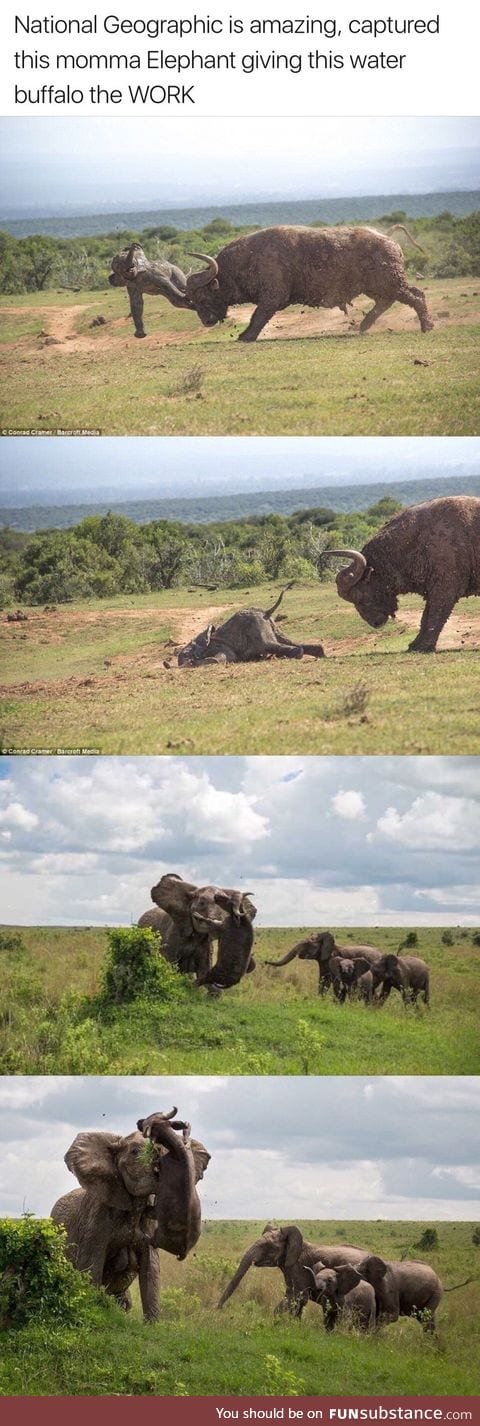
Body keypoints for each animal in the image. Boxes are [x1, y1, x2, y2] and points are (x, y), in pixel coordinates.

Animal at [51, 1106, 210, 1317]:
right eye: (135, 1152)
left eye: (161, 1150)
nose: (143, 1122)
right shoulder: (95, 1220)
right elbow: (91, 1268)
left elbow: (151, 1270)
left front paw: (153, 1322)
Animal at [173, 581, 323, 664]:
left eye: (186, 654)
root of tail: (266, 613)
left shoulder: (218, 645)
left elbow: (222, 658)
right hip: (271, 627)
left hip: (258, 628)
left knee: (272, 645)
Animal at [183, 225, 430, 342]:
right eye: (192, 300)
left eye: (203, 296)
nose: (206, 321)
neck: (247, 260)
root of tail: (387, 238)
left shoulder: (272, 297)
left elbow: (258, 316)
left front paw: (246, 336)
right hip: (378, 287)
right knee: (386, 302)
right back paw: (363, 325)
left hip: (391, 282)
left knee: (416, 296)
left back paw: (427, 326)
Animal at [319, 490, 478, 647]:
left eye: (359, 595)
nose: (375, 623)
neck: (417, 539)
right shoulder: (432, 591)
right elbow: (425, 618)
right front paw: (415, 644)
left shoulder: (444, 590)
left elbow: (435, 617)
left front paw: (424, 646)